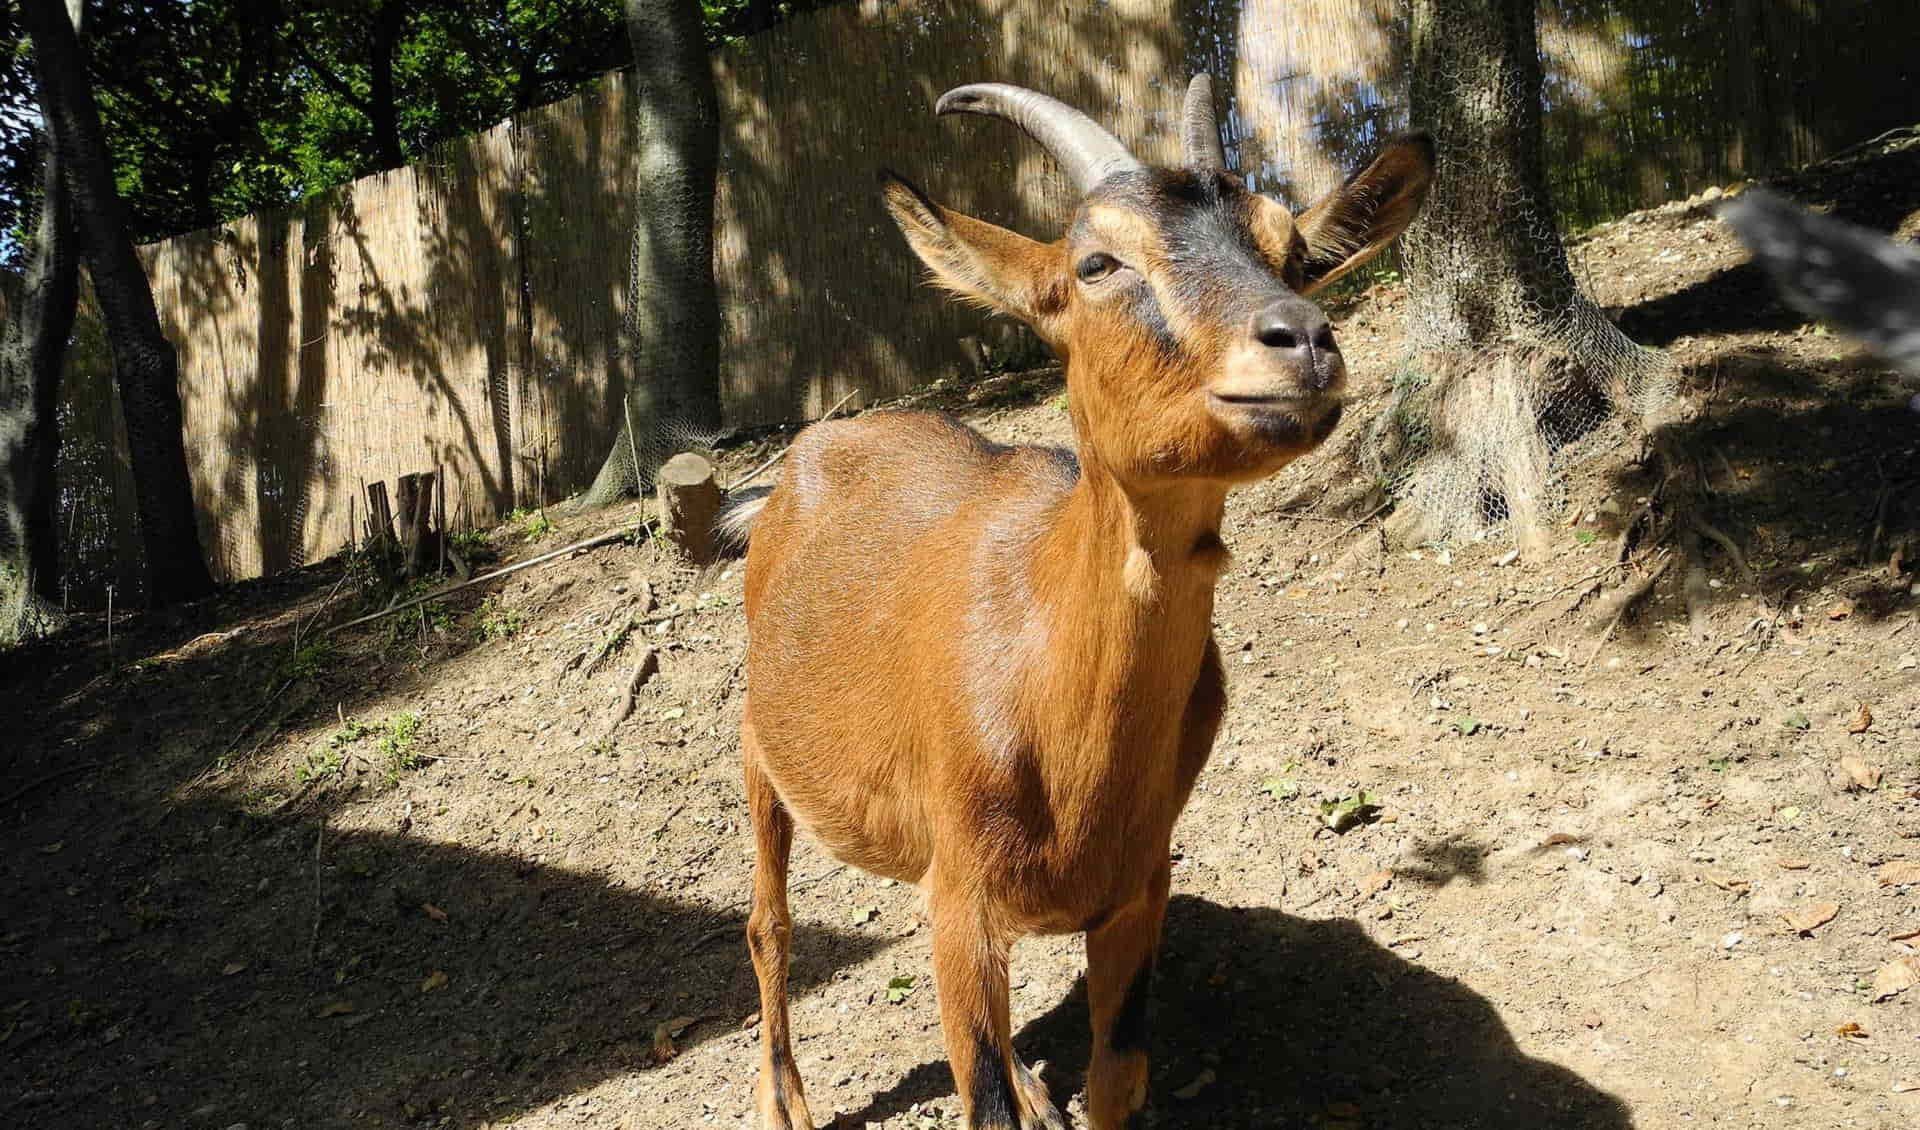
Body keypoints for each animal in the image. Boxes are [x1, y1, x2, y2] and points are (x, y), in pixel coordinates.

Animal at [725, 79, 1436, 1128]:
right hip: (760, 751)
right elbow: (977, 1095)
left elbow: (1116, 1079)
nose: (1303, 340)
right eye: (1097, 262)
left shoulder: (1140, 890)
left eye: (1291, 252)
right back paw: (786, 1098)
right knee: (767, 922)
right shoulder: (963, 904)